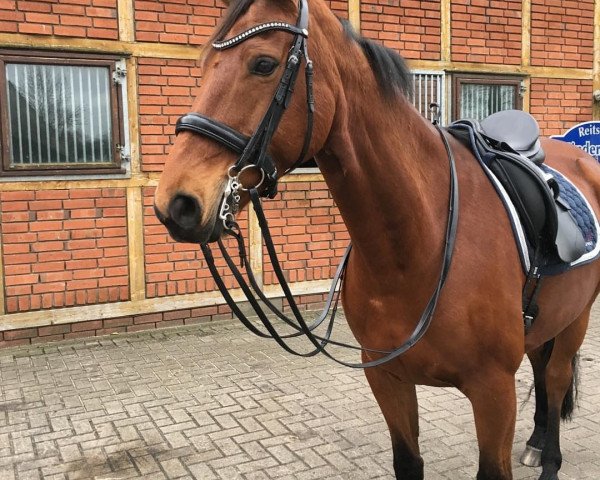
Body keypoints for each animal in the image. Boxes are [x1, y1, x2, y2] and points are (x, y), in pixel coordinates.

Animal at [151, 0, 600, 476]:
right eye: (203, 68)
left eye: (264, 64)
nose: (176, 203)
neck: (420, 243)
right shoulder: (386, 378)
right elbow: (407, 460)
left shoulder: (494, 392)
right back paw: (535, 442)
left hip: (577, 318)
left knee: (556, 379)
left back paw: (549, 458)